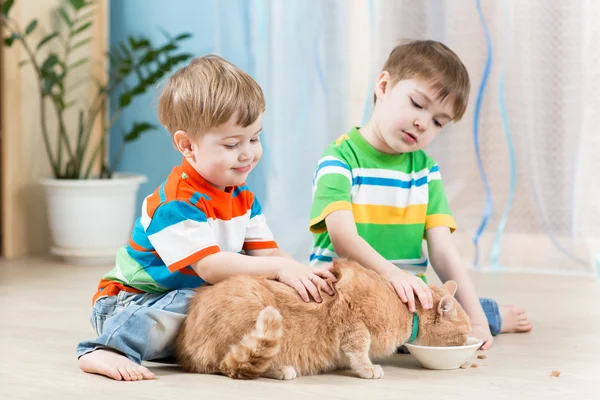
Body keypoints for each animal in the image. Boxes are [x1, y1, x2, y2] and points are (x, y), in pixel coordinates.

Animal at [176, 258, 472, 380]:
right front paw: (367, 368)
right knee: (232, 364)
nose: (473, 342)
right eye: (464, 332)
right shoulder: (355, 321)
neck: (408, 313)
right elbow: (359, 348)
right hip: (255, 312)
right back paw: (281, 370)